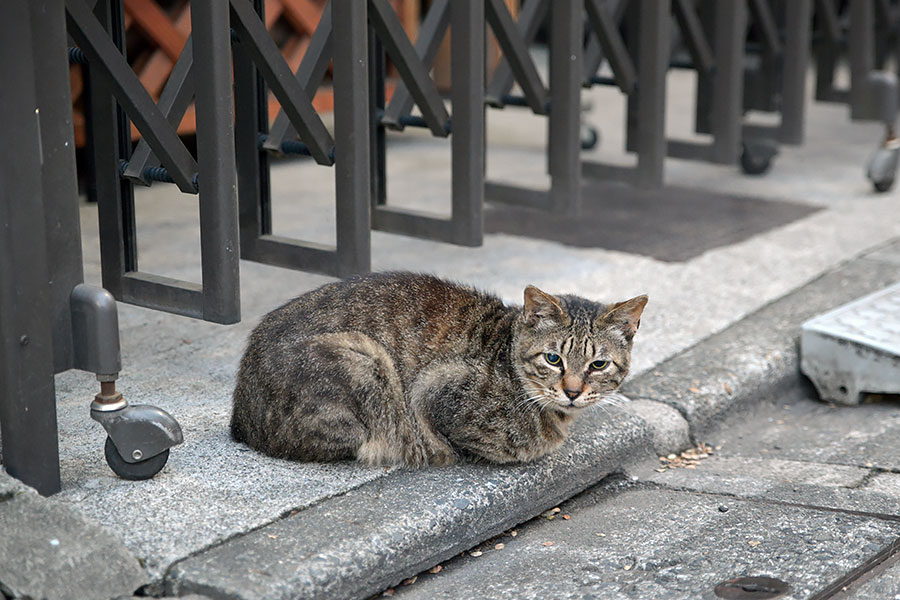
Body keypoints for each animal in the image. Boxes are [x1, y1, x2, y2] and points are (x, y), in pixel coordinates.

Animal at [229, 274, 644, 468]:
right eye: (553, 359)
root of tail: (240, 416)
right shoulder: (433, 390)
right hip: (365, 359)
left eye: (598, 364)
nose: (572, 391)